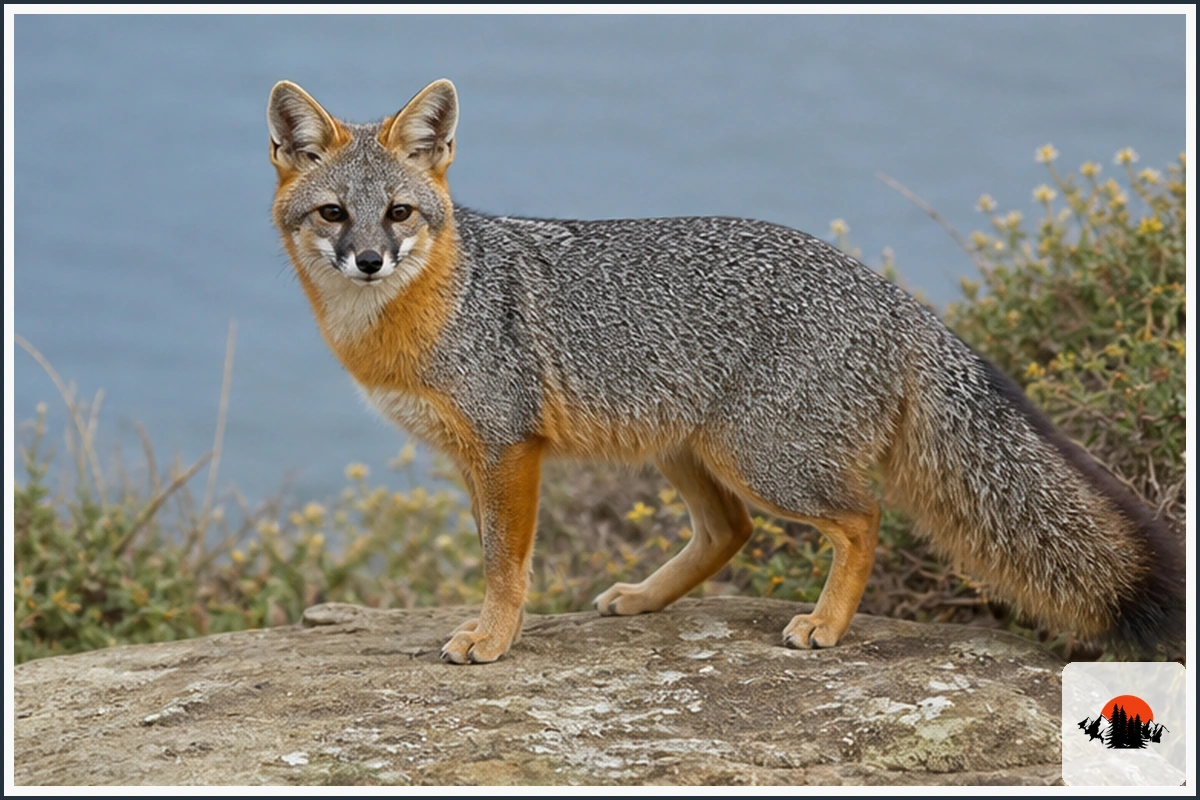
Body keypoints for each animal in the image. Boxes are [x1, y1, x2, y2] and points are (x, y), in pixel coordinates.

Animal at [266, 78, 1185, 664]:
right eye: (334, 214)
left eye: (399, 213)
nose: (370, 260)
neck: (414, 315)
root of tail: (895, 295)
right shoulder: (474, 458)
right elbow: (496, 555)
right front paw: (496, 629)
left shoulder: (507, 449)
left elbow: (505, 564)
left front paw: (491, 640)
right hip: (689, 451)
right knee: (730, 532)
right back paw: (644, 600)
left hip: (762, 459)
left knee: (862, 518)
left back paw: (826, 625)